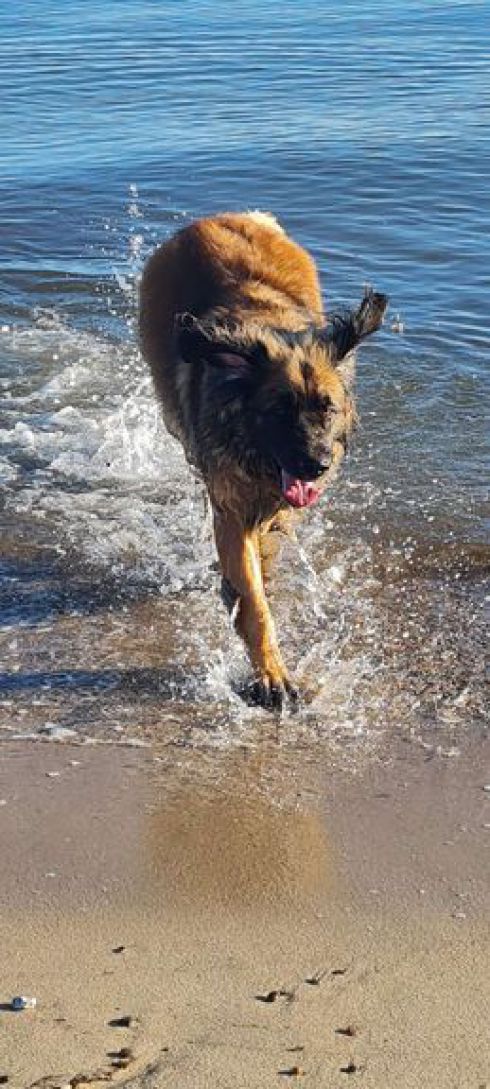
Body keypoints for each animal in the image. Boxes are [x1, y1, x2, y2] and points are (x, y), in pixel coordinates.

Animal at [139, 212, 387, 707]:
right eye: (278, 412)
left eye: (327, 408)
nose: (316, 465)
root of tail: (218, 218)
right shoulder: (231, 508)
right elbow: (254, 603)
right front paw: (272, 675)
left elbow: (266, 553)